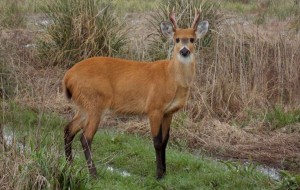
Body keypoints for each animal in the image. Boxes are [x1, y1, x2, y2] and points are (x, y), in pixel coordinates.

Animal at [63, 9, 209, 180]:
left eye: (192, 39)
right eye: (176, 39)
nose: (184, 50)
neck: (171, 78)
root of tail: (68, 76)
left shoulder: (169, 112)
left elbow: (165, 140)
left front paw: (165, 171)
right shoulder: (154, 107)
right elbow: (157, 141)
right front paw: (159, 174)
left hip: (84, 105)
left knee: (68, 129)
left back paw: (69, 165)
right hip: (94, 102)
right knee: (85, 137)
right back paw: (93, 174)